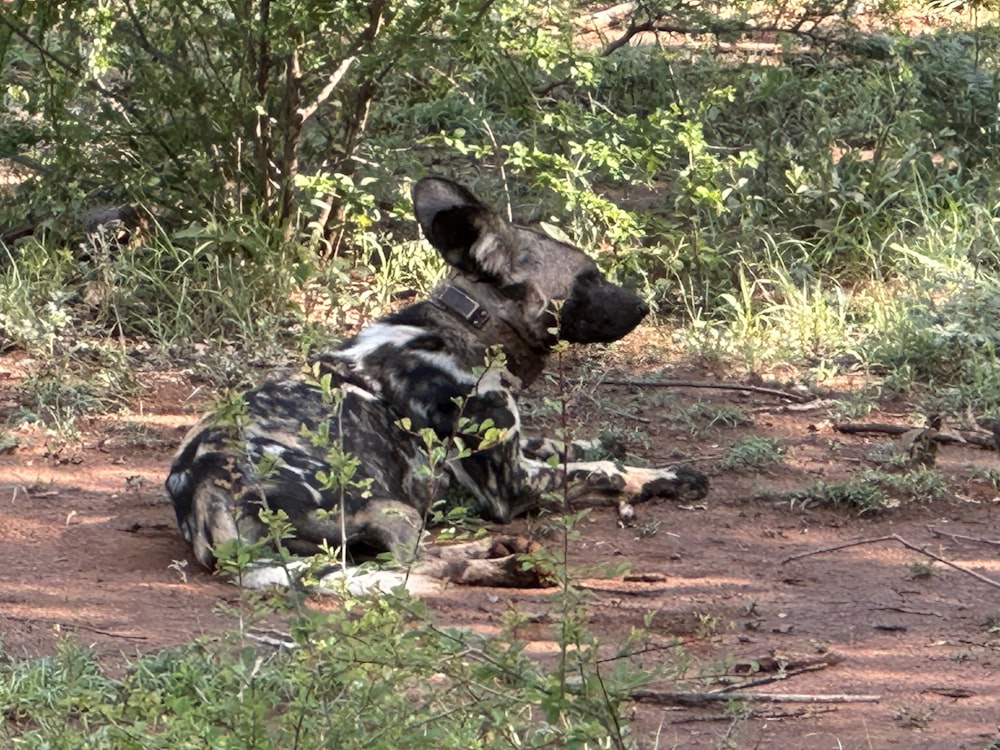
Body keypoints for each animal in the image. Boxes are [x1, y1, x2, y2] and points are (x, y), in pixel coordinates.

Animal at [166, 179, 712, 592]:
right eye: (588, 279)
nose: (643, 305)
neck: (469, 329)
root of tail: (206, 497)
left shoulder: (516, 445)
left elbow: (570, 444)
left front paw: (623, 450)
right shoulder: (511, 486)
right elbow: (606, 471)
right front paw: (663, 477)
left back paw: (495, 550)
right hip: (387, 505)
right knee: (415, 565)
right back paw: (510, 567)